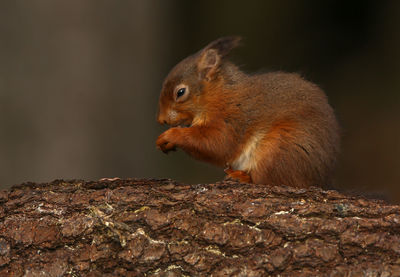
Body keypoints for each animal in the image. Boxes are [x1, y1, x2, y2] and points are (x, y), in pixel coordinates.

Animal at [155, 36, 340, 188]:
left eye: (180, 92)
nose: (161, 120)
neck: (219, 95)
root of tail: (320, 180)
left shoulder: (233, 118)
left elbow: (218, 144)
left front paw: (170, 135)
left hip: (280, 148)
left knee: (270, 180)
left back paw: (242, 177)